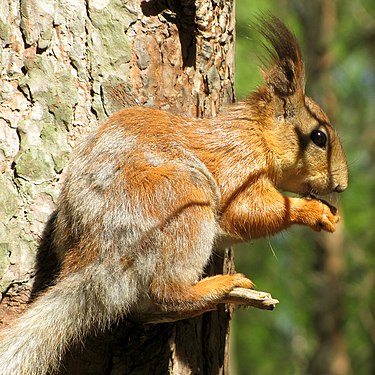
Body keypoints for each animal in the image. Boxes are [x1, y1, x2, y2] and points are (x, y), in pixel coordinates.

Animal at [0, 16, 350, 374]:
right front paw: (312, 211)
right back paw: (221, 287)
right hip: (185, 204)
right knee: (166, 293)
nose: (342, 185)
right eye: (319, 137)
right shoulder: (235, 163)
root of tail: (98, 258)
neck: (256, 135)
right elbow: (247, 211)